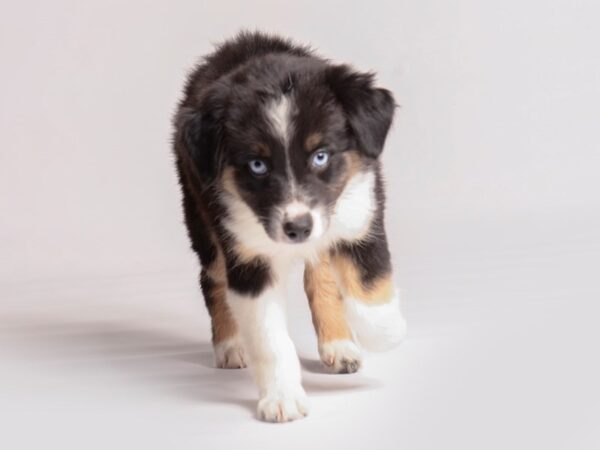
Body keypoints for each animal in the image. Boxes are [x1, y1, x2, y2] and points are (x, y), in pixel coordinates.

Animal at [172, 31, 408, 422]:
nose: (297, 228)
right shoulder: (248, 258)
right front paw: (282, 398)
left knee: (321, 275)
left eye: (320, 156)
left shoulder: (360, 215)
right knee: (212, 279)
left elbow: (368, 284)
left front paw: (387, 332)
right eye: (257, 165)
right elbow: (269, 338)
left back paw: (340, 345)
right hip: (200, 213)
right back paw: (229, 347)